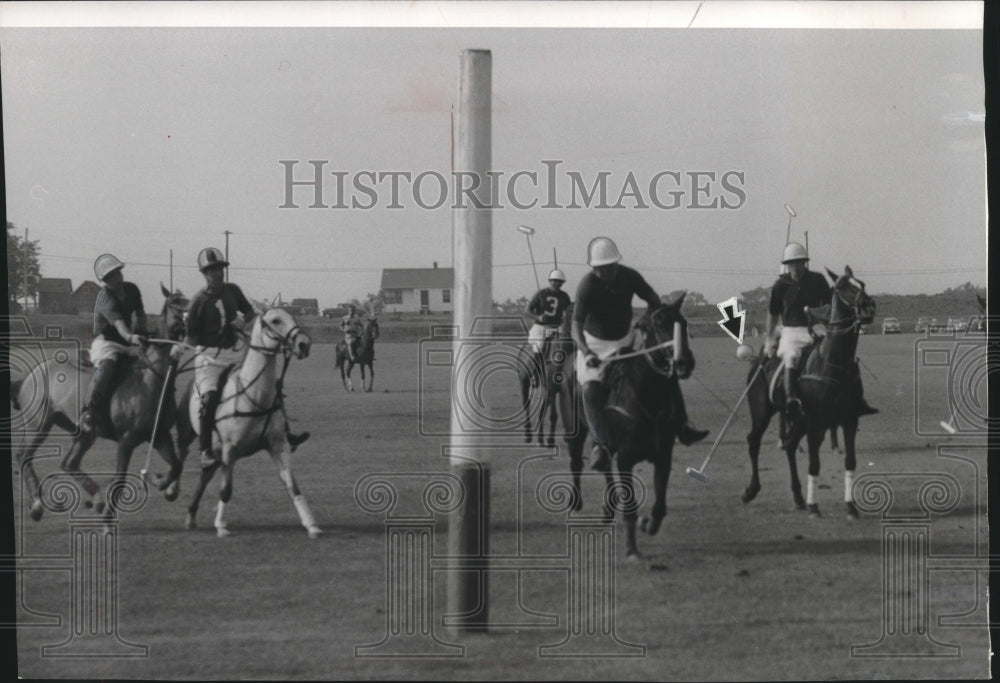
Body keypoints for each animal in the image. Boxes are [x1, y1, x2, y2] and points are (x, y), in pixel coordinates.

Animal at [10, 286, 188, 520]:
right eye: (175, 303)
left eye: (188, 300)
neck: (154, 379)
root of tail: (31, 375)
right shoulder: (126, 440)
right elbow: (119, 480)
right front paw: (108, 520)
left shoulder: (160, 436)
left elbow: (176, 465)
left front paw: (163, 484)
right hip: (38, 425)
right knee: (23, 456)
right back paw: (38, 505)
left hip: (83, 432)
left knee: (68, 463)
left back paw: (96, 501)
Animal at [174, 308, 318, 536]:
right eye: (275, 320)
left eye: (293, 317)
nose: (304, 344)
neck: (255, 396)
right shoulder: (230, 450)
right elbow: (226, 490)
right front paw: (221, 526)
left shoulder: (277, 445)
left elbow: (292, 485)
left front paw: (311, 524)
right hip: (187, 431)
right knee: (181, 455)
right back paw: (171, 489)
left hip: (215, 449)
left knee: (205, 474)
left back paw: (190, 515)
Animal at [744, 266, 876, 520]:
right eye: (841, 287)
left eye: (862, 284)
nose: (868, 307)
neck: (833, 365)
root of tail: (759, 361)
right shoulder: (815, 422)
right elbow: (814, 465)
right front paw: (814, 507)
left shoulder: (849, 420)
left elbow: (850, 461)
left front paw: (850, 506)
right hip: (762, 410)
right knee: (754, 440)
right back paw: (751, 490)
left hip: (799, 420)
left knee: (790, 445)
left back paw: (798, 497)